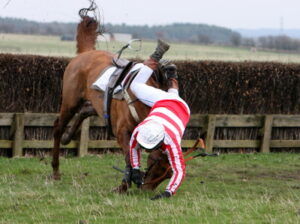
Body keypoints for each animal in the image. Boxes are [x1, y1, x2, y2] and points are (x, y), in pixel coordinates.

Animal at [51, 15, 172, 192]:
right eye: (158, 167)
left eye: (169, 173)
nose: (146, 189)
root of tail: (87, 52)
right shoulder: (122, 132)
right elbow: (129, 158)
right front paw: (124, 185)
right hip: (70, 102)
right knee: (58, 127)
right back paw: (55, 169)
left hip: (97, 105)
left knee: (85, 111)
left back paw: (68, 137)